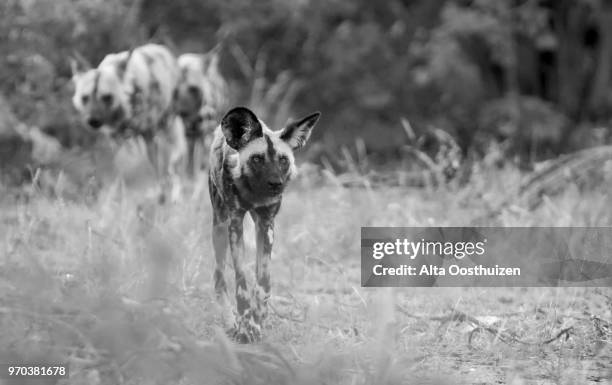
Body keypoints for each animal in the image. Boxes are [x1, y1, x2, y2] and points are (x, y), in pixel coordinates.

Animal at [70, 43, 185, 201]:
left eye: (107, 97)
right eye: (85, 98)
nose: (93, 121)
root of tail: (160, 48)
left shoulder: (149, 136)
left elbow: (154, 168)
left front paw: (159, 194)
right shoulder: (115, 139)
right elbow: (116, 170)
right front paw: (113, 195)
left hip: (169, 127)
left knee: (174, 163)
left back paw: (175, 194)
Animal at [208, 106, 320, 342]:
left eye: (283, 160)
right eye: (257, 159)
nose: (276, 183)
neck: (254, 193)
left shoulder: (266, 225)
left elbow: (263, 282)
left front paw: (256, 320)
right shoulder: (235, 224)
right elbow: (241, 283)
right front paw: (243, 326)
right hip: (219, 227)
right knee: (219, 277)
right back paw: (229, 322)